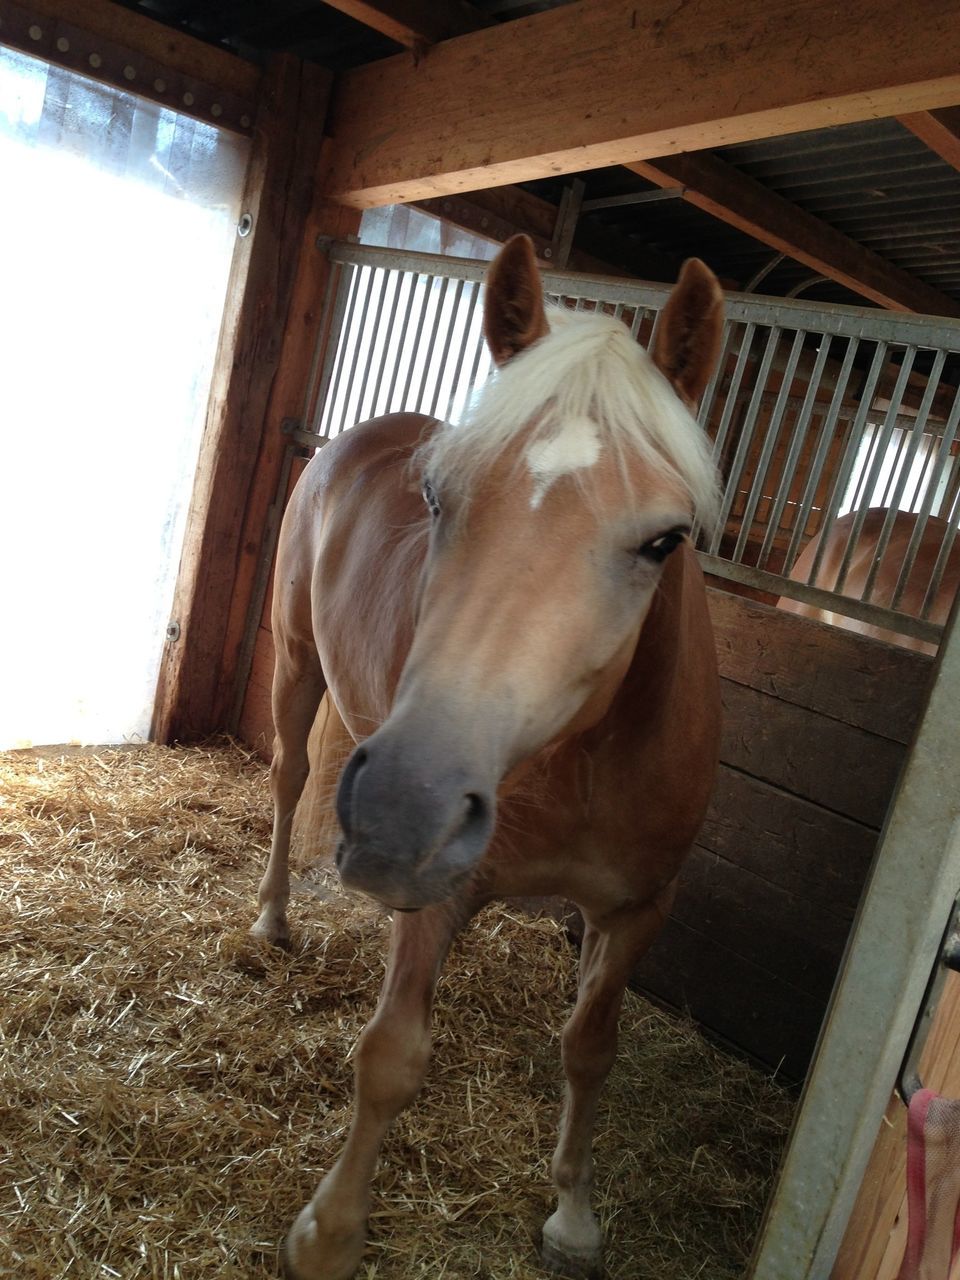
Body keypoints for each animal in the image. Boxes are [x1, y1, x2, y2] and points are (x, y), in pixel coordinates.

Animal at [252, 238, 727, 1280]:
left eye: (665, 539)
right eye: (437, 499)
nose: (403, 808)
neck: (584, 763)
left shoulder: (640, 907)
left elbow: (591, 1047)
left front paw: (574, 1217)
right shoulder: (440, 895)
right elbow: (391, 1059)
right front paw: (329, 1234)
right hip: (299, 665)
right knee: (289, 782)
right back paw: (271, 919)